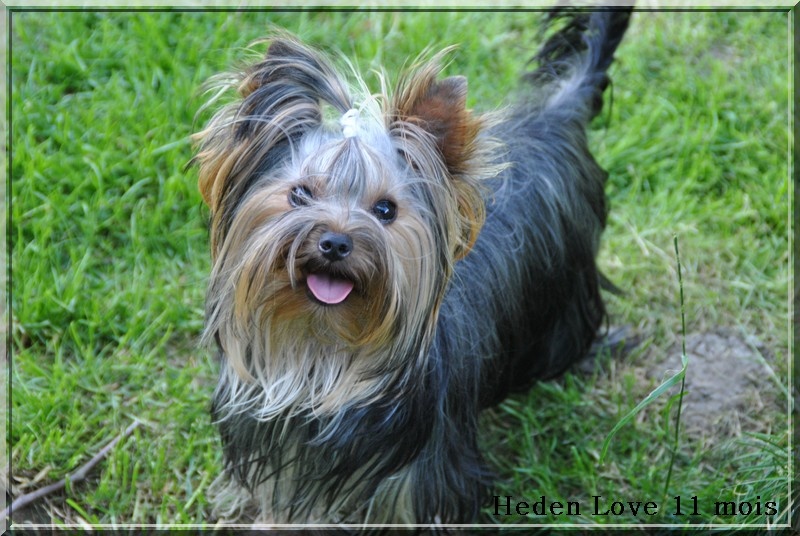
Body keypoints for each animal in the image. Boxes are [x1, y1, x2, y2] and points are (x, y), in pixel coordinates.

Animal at [192, 10, 632, 524]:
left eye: (385, 210)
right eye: (299, 193)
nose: (335, 243)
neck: (319, 354)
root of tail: (557, 113)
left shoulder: (424, 475)